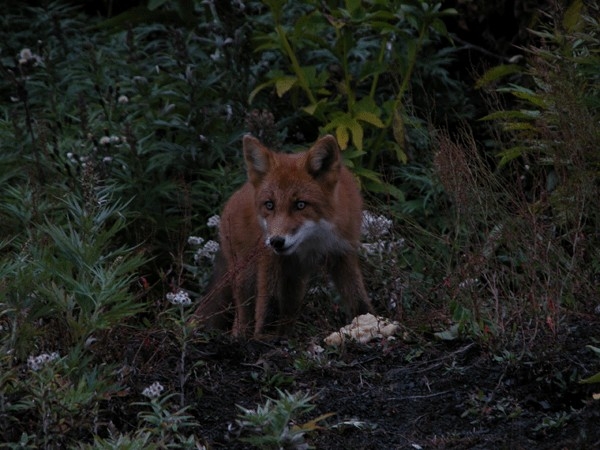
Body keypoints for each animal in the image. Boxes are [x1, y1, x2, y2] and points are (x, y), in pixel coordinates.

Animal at [195, 134, 372, 338]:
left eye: (300, 205)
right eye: (269, 205)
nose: (277, 241)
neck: (312, 243)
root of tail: (233, 197)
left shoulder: (343, 253)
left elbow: (358, 298)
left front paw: (371, 321)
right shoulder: (269, 260)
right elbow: (267, 307)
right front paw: (262, 338)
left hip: (294, 285)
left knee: (287, 314)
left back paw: (284, 337)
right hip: (246, 278)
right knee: (242, 319)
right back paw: (241, 339)